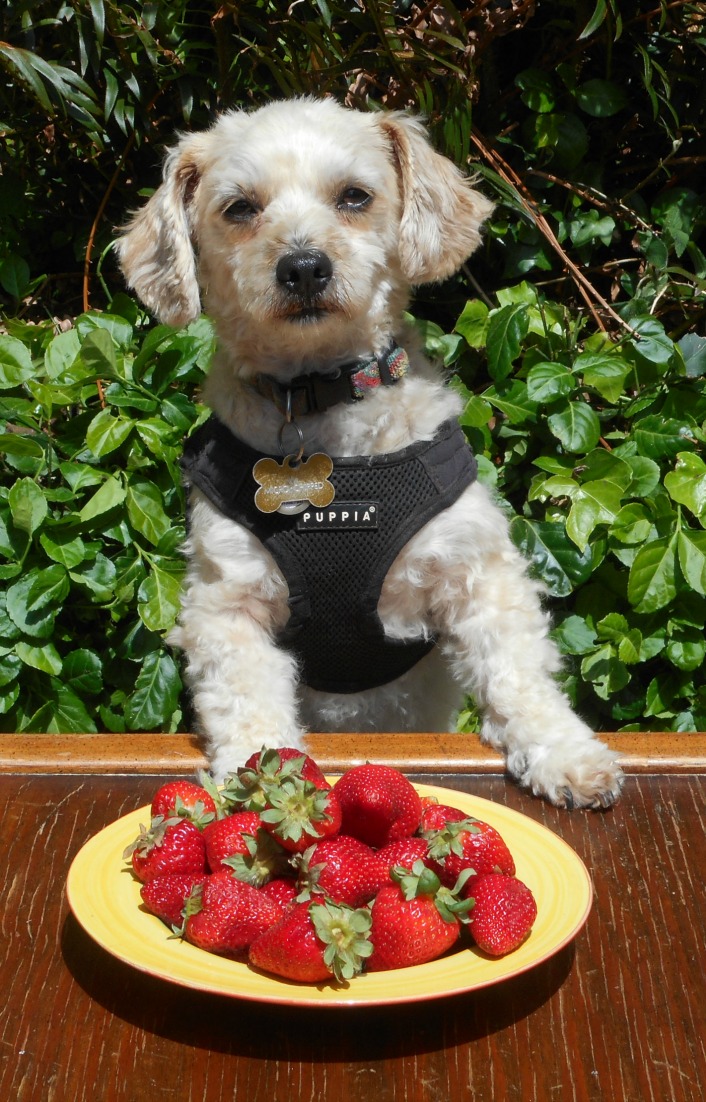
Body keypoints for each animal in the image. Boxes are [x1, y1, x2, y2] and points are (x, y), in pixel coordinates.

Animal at [116, 96, 621, 811]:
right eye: (240, 207)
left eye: (355, 196)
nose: (303, 266)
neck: (321, 407)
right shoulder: (226, 601)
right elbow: (247, 698)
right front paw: (260, 786)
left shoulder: (476, 572)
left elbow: (518, 671)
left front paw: (567, 754)